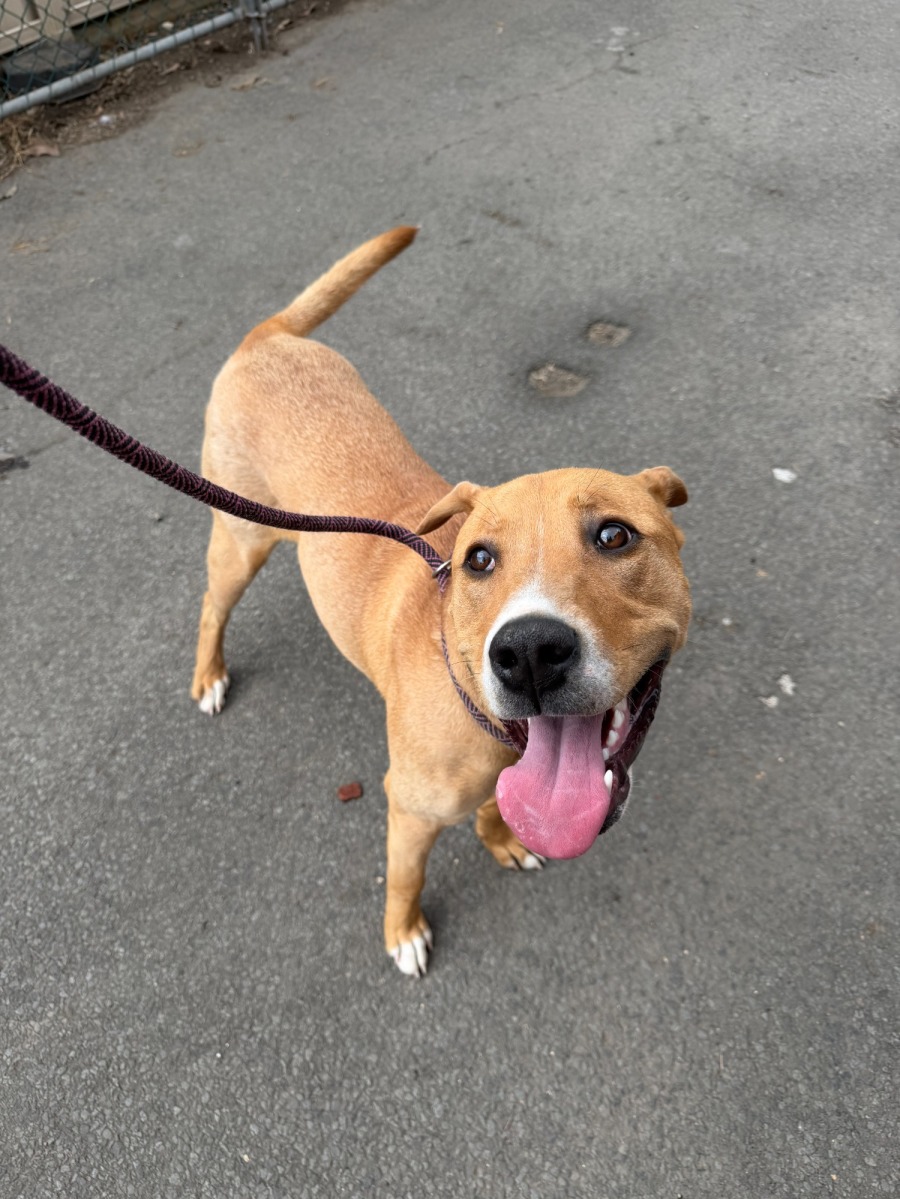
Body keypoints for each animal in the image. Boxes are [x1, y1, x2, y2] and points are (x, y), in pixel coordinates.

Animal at [191, 227, 691, 976]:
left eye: (614, 534)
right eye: (478, 559)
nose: (529, 652)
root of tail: (267, 336)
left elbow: (494, 809)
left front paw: (502, 839)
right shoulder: (409, 807)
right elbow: (407, 874)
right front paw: (403, 932)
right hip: (239, 537)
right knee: (211, 605)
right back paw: (209, 674)